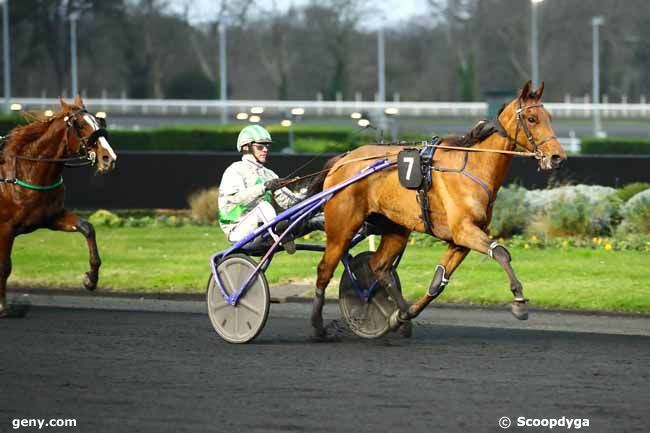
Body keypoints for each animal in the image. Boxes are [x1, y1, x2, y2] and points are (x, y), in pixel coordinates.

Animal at [0, 96, 115, 316]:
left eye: (99, 121)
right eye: (79, 125)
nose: (109, 158)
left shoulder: (52, 217)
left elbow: (87, 228)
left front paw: (90, 279)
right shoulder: (5, 228)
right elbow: (5, 266)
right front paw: (2, 306)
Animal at [308, 80, 560, 338]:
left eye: (549, 117)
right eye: (531, 118)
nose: (557, 156)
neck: (473, 167)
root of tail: (342, 159)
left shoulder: (460, 241)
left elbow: (438, 282)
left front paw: (404, 315)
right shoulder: (464, 231)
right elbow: (501, 253)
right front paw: (519, 302)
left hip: (396, 227)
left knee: (378, 266)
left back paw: (393, 313)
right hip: (343, 226)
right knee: (325, 269)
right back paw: (318, 325)